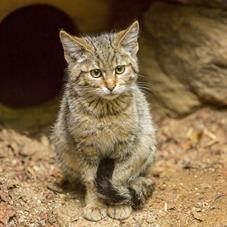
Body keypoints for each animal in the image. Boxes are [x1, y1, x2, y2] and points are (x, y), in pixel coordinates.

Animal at [51, 21, 156, 222]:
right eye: (96, 73)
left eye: (119, 69)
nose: (111, 86)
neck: (106, 113)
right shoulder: (86, 147)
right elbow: (91, 180)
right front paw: (96, 205)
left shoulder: (125, 146)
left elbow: (118, 177)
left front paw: (118, 204)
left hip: (146, 142)